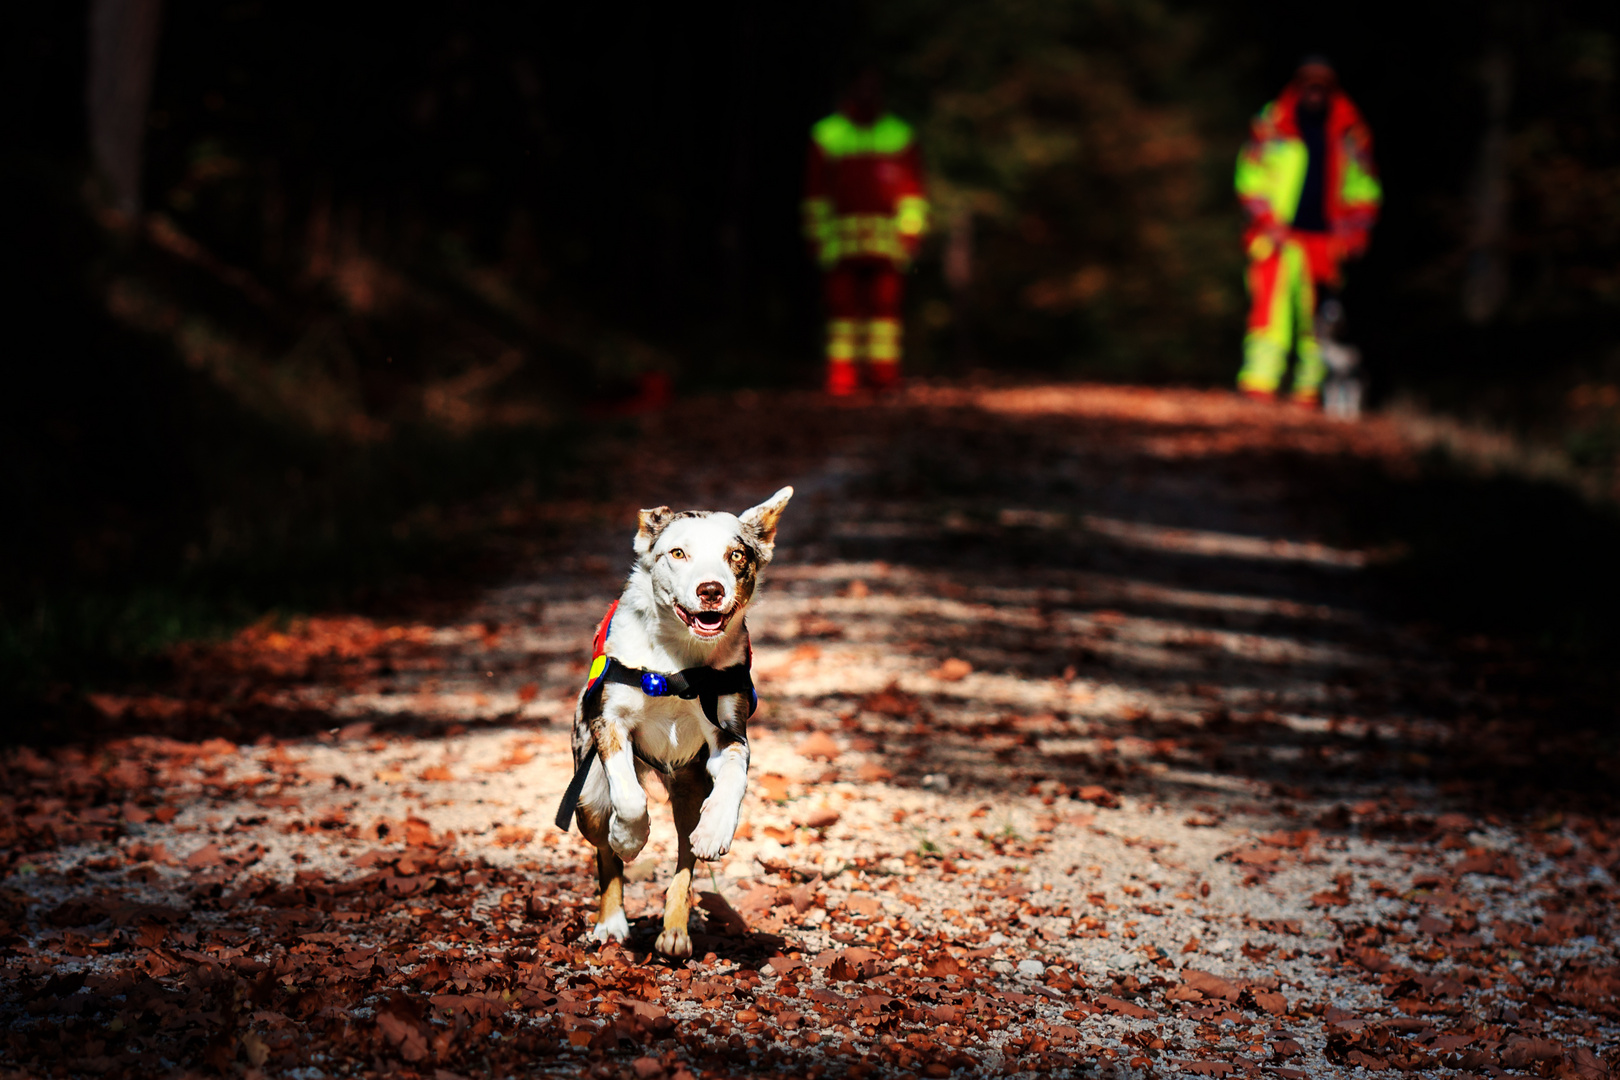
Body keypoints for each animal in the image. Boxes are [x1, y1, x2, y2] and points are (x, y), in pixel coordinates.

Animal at [554, 488, 793, 952]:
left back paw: (675, 930)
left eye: (736, 555)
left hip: (690, 788)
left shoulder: (729, 732)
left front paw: (716, 830)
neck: (680, 663)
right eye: (678, 553)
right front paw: (629, 838)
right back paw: (611, 921)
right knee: (604, 850)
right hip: (588, 794)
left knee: (685, 853)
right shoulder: (610, 724)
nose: (711, 590)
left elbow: (735, 776)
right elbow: (629, 798)